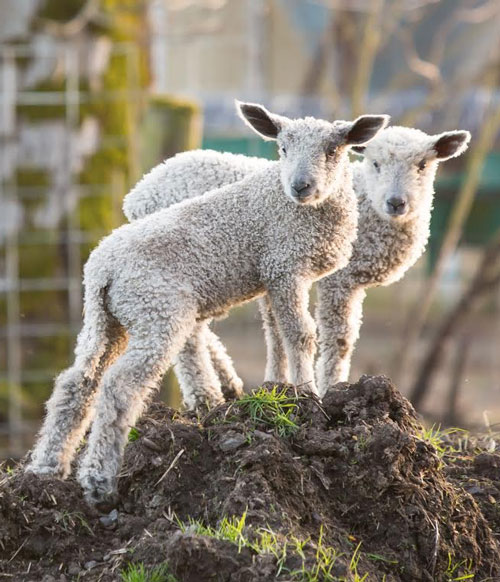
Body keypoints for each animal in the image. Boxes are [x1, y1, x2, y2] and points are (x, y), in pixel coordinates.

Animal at [25, 101, 388, 506]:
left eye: (333, 150)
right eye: (281, 148)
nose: (300, 186)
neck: (297, 209)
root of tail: (103, 270)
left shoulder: (275, 277)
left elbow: (279, 334)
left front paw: (284, 390)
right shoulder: (284, 267)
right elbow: (301, 334)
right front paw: (307, 395)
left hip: (106, 322)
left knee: (78, 382)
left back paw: (47, 469)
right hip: (158, 312)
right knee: (120, 386)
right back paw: (98, 480)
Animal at [123, 124, 470, 396]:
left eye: (423, 165)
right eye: (375, 163)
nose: (396, 202)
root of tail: (140, 191)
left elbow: (280, 331)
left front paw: (281, 384)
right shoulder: (338, 280)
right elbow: (339, 338)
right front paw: (332, 389)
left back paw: (229, 382)